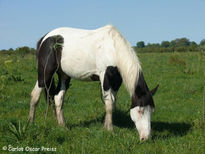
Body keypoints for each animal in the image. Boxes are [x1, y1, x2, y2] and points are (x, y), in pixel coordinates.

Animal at [28, 25, 158, 141]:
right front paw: (110, 130)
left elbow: (112, 103)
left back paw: (63, 126)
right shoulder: (105, 78)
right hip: (45, 74)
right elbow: (109, 104)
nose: (146, 138)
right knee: (35, 96)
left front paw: (106, 126)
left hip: (64, 76)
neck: (113, 48)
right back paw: (31, 123)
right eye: (140, 111)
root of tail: (45, 38)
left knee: (58, 98)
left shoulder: (116, 81)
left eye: (152, 111)